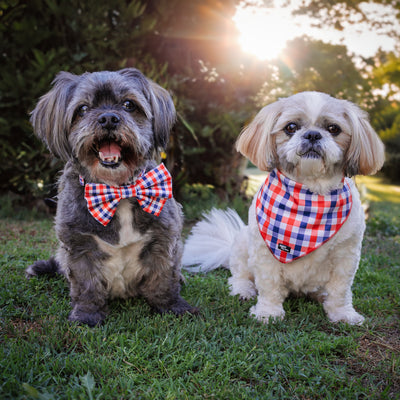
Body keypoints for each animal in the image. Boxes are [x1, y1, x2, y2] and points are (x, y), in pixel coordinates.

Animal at [25, 68, 198, 324]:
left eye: (129, 104)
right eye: (83, 109)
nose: (108, 118)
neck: (118, 190)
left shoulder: (164, 238)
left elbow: (164, 277)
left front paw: (172, 306)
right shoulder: (78, 244)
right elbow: (86, 283)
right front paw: (87, 314)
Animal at [184, 91, 384, 324]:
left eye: (334, 129)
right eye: (291, 127)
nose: (313, 135)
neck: (309, 196)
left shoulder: (346, 256)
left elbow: (340, 290)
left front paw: (343, 313)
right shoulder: (266, 253)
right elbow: (269, 285)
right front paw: (268, 312)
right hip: (242, 243)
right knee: (239, 275)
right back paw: (243, 290)